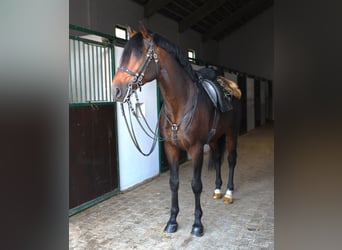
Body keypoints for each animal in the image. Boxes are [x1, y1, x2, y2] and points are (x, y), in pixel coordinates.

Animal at [111, 23, 240, 236]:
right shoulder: (171, 148)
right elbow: (174, 183)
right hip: (214, 138)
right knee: (217, 159)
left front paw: (197, 224)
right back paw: (217, 190)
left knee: (230, 160)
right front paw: (172, 221)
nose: (116, 91)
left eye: (140, 55)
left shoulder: (196, 149)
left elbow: (196, 185)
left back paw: (229, 193)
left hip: (231, 132)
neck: (180, 105)